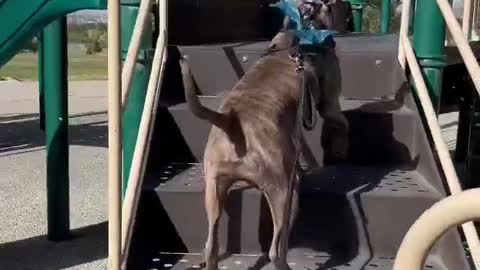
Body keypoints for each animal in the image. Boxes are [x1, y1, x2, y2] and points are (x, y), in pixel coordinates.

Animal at [178, 1, 346, 268]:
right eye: (337, 5)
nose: (345, 10)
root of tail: (230, 123)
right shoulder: (330, 102)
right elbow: (341, 123)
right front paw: (340, 148)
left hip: (214, 190)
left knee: (211, 244)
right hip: (283, 194)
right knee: (276, 248)